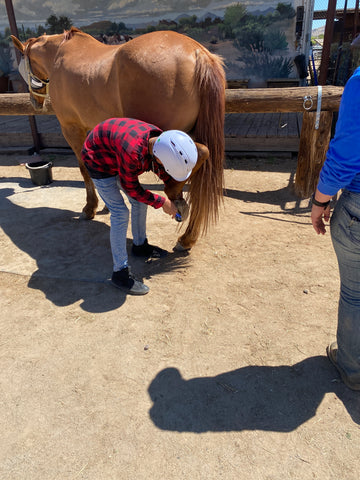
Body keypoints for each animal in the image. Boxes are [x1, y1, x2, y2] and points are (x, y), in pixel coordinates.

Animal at [11, 27, 225, 249]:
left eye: (23, 65)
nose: (34, 102)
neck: (59, 54)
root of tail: (198, 52)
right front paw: (106, 205)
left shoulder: (71, 128)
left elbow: (84, 169)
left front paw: (90, 208)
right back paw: (187, 237)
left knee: (200, 153)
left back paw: (174, 194)